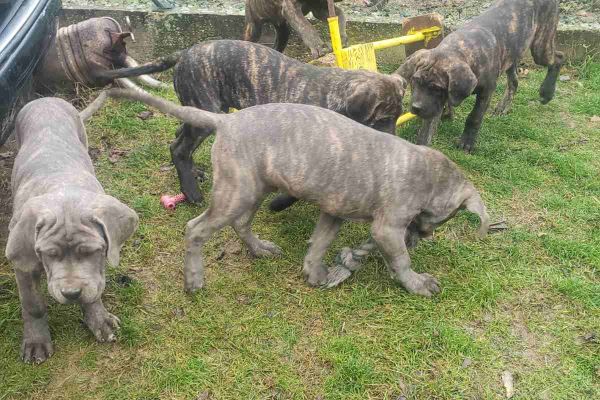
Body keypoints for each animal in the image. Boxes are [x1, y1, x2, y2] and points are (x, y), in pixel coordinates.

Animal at [6, 97, 138, 362]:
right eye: (49, 254)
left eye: (91, 252)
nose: (72, 293)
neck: (61, 187)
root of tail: (46, 98)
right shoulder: (22, 266)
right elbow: (33, 305)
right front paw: (36, 341)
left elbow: (94, 288)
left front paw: (99, 319)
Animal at [98, 39, 408, 206]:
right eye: (381, 120)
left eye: (396, 117)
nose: (395, 143)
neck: (334, 96)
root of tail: (184, 52)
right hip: (206, 112)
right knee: (179, 148)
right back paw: (191, 190)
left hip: (205, 110)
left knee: (179, 135)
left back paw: (194, 174)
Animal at [105, 89, 490, 298]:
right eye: (438, 219)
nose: (421, 238)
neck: (428, 174)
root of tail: (226, 120)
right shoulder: (386, 229)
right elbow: (400, 260)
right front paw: (417, 283)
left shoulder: (334, 211)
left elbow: (318, 244)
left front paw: (315, 273)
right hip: (235, 192)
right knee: (195, 230)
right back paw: (194, 279)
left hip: (255, 188)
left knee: (241, 224)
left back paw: (259, 248)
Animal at [398, 0, 564, 152]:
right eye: (415, 81)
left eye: (436, 87)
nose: (415, 108)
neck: (462, 50)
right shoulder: (435, 103)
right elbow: (427, 129)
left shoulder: (486, 90)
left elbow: (475, 117)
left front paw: (467, 141)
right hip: (512, 53)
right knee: (514, 81)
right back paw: (503, 106)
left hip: (541, 45)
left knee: (558, 58)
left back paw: (547, 92)